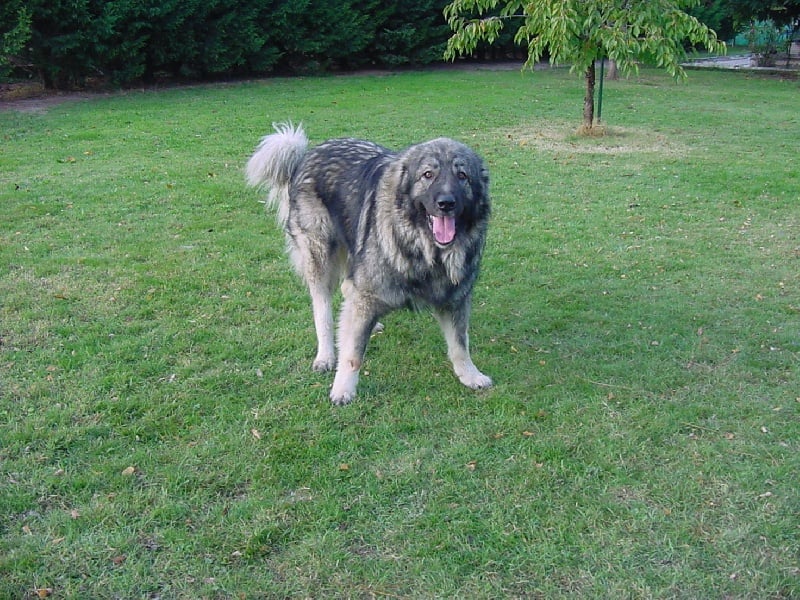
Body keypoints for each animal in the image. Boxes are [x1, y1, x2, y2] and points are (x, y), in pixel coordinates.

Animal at [246, 123, 492, 405]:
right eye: (428, 175)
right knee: (322, 308)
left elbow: (460, 343)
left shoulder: (455, 299)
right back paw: (326, 354)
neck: (424, 249)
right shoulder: (365, 292)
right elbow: (353, 354)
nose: (446, 203)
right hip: (320, 256)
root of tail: (306, 155)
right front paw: (343, 389)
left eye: (462, 176)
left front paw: (470, 375)